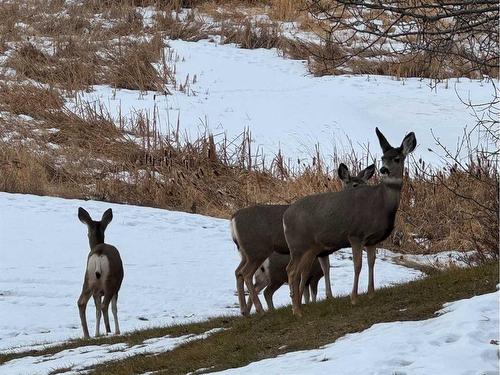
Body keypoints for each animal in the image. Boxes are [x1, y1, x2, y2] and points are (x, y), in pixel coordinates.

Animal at [78, 207, 126, 340]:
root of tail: (99, 254)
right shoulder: (117, 288)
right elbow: (114, 308)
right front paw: (115, 331)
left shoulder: (97, 292)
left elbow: (97, 310)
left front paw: (97, 333)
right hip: (110, 281)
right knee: (105, 306)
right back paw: (110, 332)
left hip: (88, 279)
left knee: (81, 302)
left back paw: (88, 335)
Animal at [230, 163, 376, 316]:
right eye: (355, 185)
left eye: (366, 183)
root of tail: (233, 218)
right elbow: (307, 274)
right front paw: (301, 301)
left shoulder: (322, 252)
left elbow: (325, 270)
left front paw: (328, 297)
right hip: (256, 249)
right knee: (246, 273)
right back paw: (259, 310)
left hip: (245, 252)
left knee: (238, 272)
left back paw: (245, 310)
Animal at [284, 129, 416, 318]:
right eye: (383, 157)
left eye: (397, 158)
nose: (383, 170)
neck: (380, 203)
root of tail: (285, 217)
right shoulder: (355, 234)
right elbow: (357, 265)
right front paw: (354, 298)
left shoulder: (372, 239)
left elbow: (371, 262)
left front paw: (371, 293)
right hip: (298, 244)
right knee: (291, 270)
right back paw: (296, 310)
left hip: (311, 248)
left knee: (301, 271)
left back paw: (299, 307)